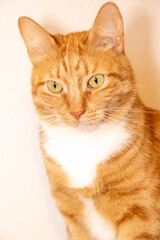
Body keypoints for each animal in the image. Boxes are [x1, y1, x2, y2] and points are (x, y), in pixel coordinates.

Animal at [17, 1, 160, 240]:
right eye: (55, 86)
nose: (76, 112)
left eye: (96, 81)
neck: (83, 147)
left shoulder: (141, 215)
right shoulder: (73, 218)